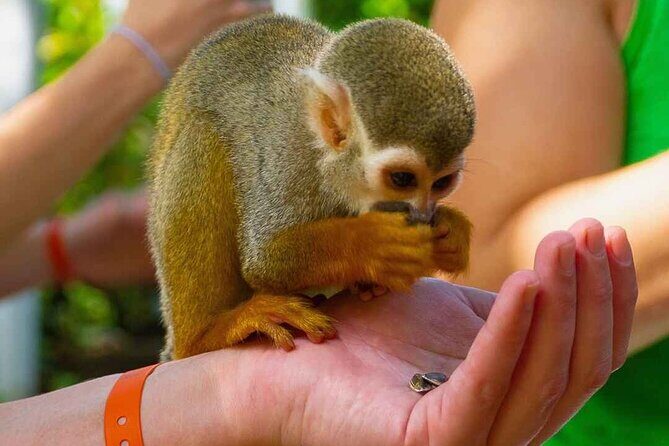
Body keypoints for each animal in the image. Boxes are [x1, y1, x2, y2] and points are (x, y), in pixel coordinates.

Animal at [147, 14, 475, 361]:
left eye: (442, 183)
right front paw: (373, 243)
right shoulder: (288, 154)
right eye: (402, 179)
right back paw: (206, 333)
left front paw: (450, 232)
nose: (423, 215)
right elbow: (265, 259)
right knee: (203, 134)